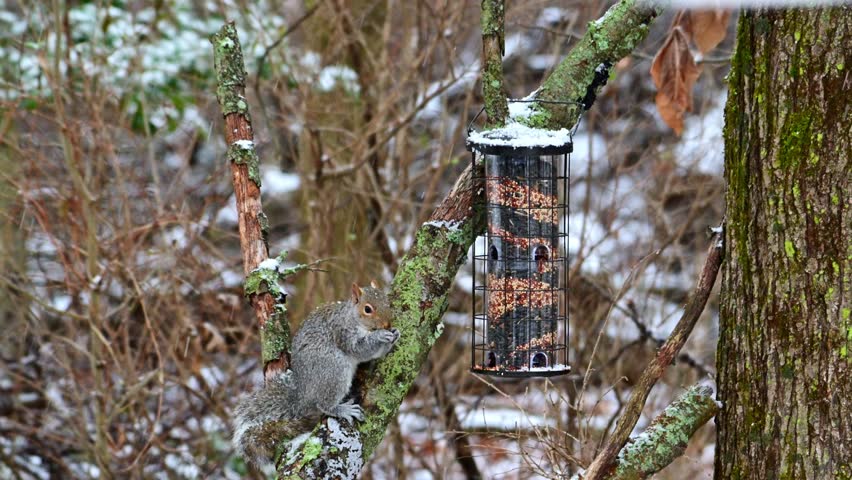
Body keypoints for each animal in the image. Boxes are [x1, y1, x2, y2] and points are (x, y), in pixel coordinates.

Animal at [232, 281, 399, 467]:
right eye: (367, 309)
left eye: (388, 303)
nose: (387, 324)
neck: (353, 318)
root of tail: (301, 397)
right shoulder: (343, 333)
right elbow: (361, 349)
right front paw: (380, 337)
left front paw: (395, 334)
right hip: (334, 370)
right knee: (323, 404)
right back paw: (343, 409)